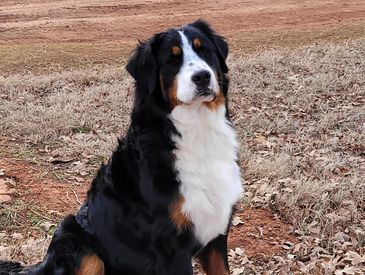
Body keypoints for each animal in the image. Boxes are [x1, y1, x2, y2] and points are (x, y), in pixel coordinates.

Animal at [2, 19, 245, 275]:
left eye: (204, 51)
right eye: (172, 60)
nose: (202, 77)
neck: (197, 129)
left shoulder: (217, 235)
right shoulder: (171, 246)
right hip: (79, 244)